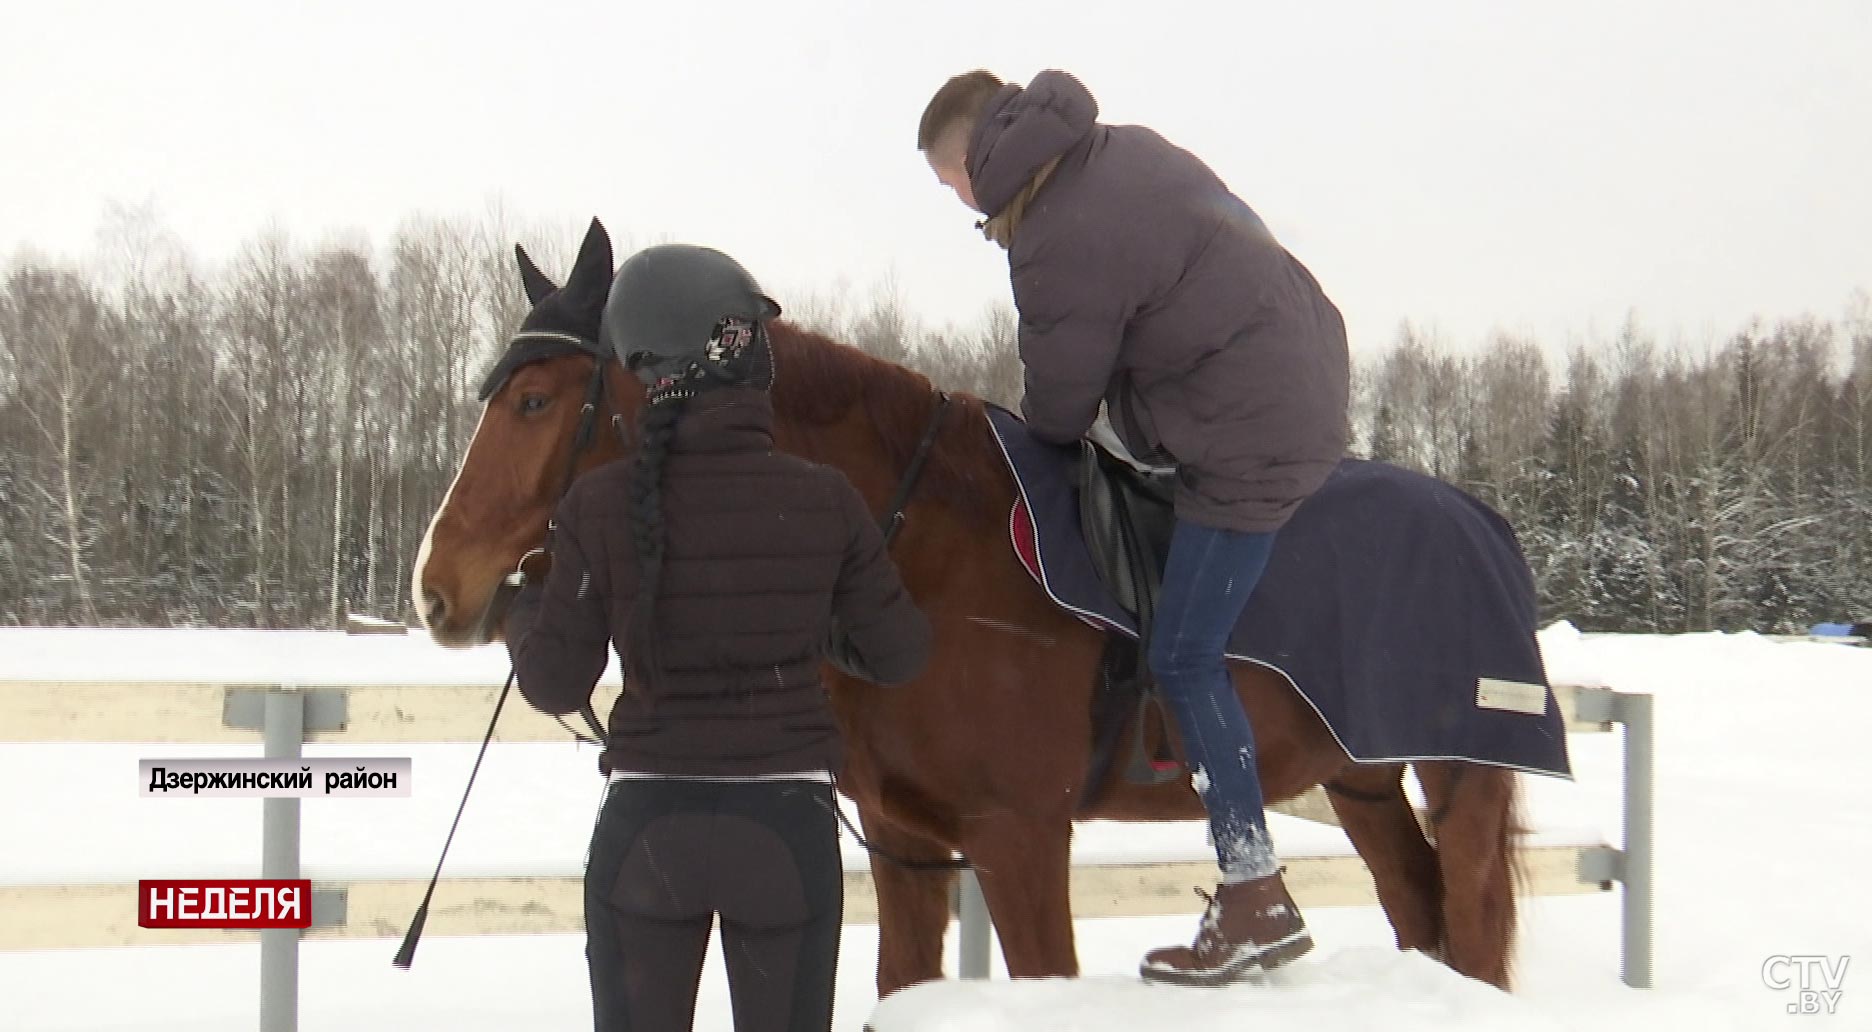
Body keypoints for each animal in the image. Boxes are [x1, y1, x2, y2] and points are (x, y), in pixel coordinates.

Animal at [417, 220, 1527, 1003]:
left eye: (534, 402)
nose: (439, 586)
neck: (923, 549)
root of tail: (1482, 523)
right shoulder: (906, 843)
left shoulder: (1018, 837)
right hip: (1365, 781)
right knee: (1419, 905)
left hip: (1462, 776)